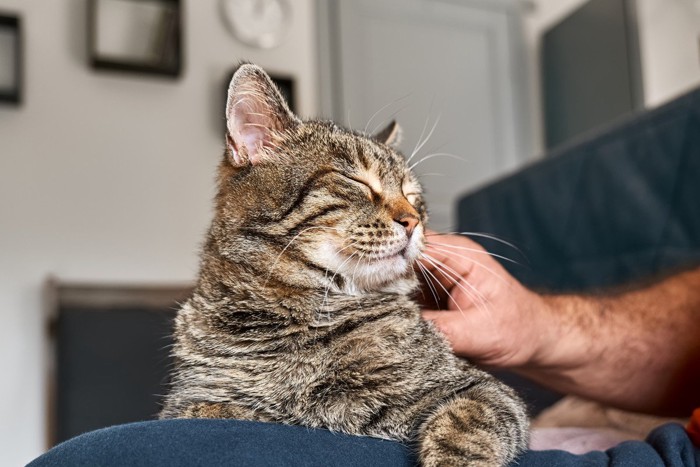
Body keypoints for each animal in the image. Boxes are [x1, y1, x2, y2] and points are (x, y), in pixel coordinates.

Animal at [159, 64, 528, 466]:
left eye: (413, 196)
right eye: (355, 180)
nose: (414, 221)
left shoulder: (482, 388)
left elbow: (468, 423)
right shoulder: (189, 400)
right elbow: (212, 410)